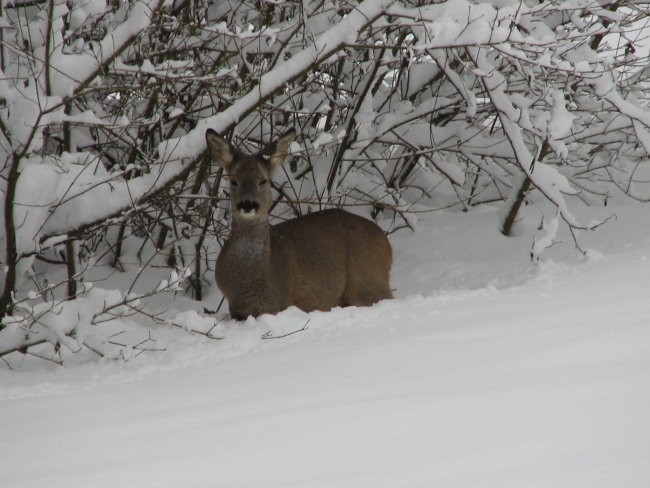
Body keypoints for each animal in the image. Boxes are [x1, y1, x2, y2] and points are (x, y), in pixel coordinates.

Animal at [206, 127, 390, 320]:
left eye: (263, 181)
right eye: (233, 181)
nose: (247, 204)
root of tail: (387, 246)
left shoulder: (278, 304)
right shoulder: (236, 308)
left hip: (367, 280)